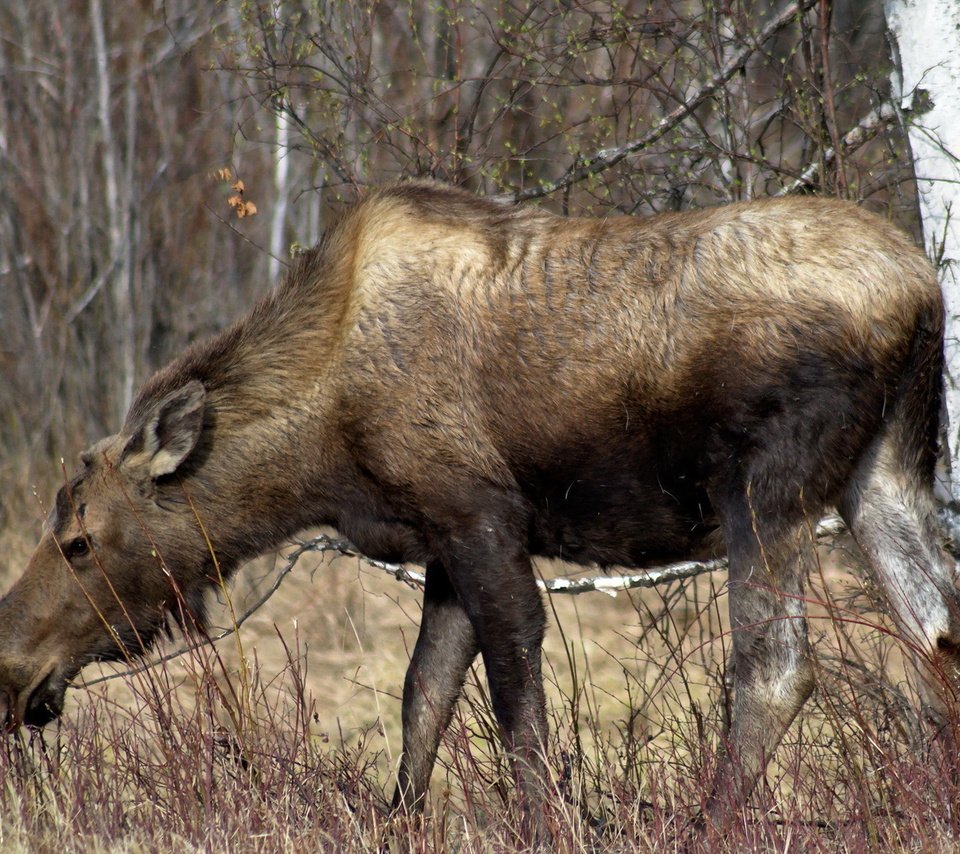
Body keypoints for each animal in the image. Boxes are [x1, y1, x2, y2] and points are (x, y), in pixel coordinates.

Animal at [1, 182, 960, 828]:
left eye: (80, 540)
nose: (12, 668)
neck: (316, 452)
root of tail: (922, 291)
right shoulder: (442, 541)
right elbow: (423, 692)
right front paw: (397, 818)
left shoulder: (482, 518)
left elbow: (511, 698)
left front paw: (546, 823)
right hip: (884, 472)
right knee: (937, 634)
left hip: (768, 484)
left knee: (776, 668)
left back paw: (709, 826)